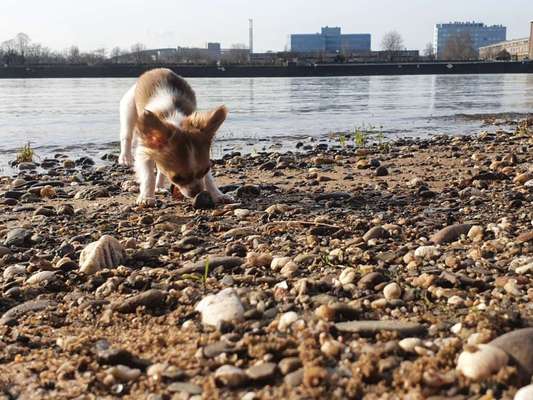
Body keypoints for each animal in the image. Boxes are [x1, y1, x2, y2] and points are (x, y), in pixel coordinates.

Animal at [119, 68, 232, 205]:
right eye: (177, 178)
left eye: (204, 170)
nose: (196, 192)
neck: (175, 121)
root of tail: (156, 69)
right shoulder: (144, 150)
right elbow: (148, 177)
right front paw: (146, 197)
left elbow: (208, 179)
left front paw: (217, 194)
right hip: (128, 111)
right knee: (126, 136)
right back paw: (125, 158)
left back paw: (159, 186)